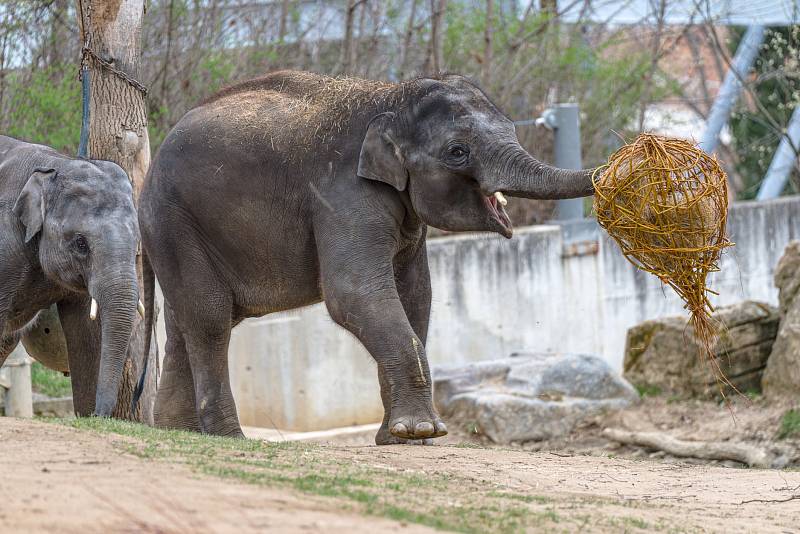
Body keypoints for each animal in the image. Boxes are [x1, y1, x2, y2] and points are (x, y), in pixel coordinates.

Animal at [141, 71, 596, 444]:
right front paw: (422, 431)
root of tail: (145, 177)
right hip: (174, 221)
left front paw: (400, 437)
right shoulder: (344, 192)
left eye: (508, 128)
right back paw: (229, 438)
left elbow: (415, 296)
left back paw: (179, 432)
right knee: (210, 319)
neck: (392, 97)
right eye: (457, 152)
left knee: (185, 323)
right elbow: (355, 295)